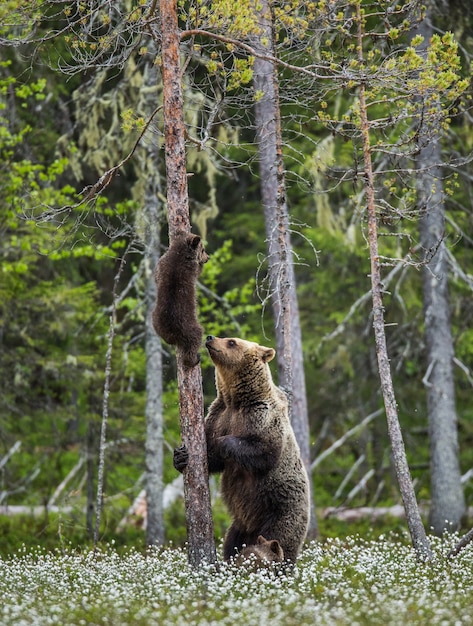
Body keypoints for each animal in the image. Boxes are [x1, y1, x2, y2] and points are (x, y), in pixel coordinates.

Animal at [152, 229, 207, 366]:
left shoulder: (161, 264)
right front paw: (201, 265)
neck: (180, 253)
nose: (207, 258)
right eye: (203, 249)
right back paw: (194, 359)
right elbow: (197, 271)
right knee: (195, 340)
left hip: (155, 321)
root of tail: (171, 330)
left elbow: (156, 275)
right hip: (189, 327)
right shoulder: (190, 268)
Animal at [173, 334, 310, 564]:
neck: (236, 400)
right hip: (241, 526)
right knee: (232, 543)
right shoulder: (219, 415)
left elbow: (263, 451)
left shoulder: (262, 416)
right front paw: (181, 456)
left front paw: (222, 443)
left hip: (281, 511)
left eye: (232, 341)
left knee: (279, 541)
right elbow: (210, 458)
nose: (210, 337)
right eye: (226, 338)